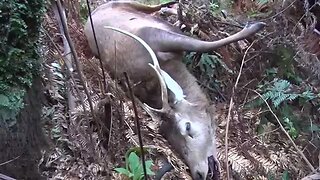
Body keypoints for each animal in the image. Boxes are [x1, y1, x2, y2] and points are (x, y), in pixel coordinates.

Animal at [84, 1, 264, 179]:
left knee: (155, 7)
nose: (199, 173)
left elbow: (204, 45)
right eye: (169, 138)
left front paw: (255, 26)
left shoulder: (157, 35)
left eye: (188, 127)